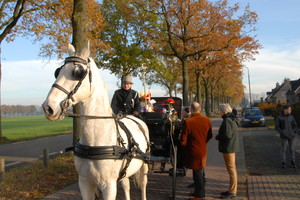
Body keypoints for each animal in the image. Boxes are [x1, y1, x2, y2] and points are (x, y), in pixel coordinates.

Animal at [41, 42, 149, 200]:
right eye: (58, 72)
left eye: (78, 72)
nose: (48, 107)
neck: (95, 141)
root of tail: (134, 118)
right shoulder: (85, 183)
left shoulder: (108, 186)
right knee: (126, 185)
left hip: (144, 166)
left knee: (143, 186)